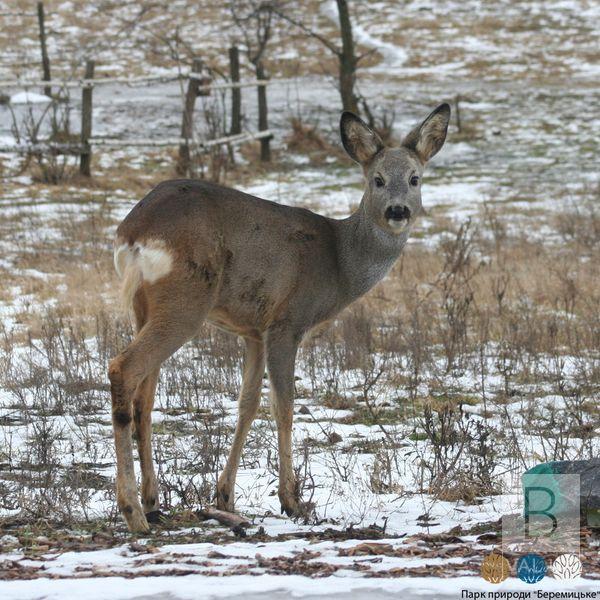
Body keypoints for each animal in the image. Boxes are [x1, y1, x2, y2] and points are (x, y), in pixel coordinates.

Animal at [109, 104, 450, 536]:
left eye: (414, 178)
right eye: (378, 179)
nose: (398, 211)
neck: (338, 262)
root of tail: (133, 232)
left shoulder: (254, 330)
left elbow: (247, 404)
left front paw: (225, 497)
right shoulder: (288, 322)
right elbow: (284, 406)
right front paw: (292, 500)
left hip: (145, 307)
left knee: (145, 397)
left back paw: (153, 504)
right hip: (185, 301)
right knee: (122, 368)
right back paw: (133, 513)